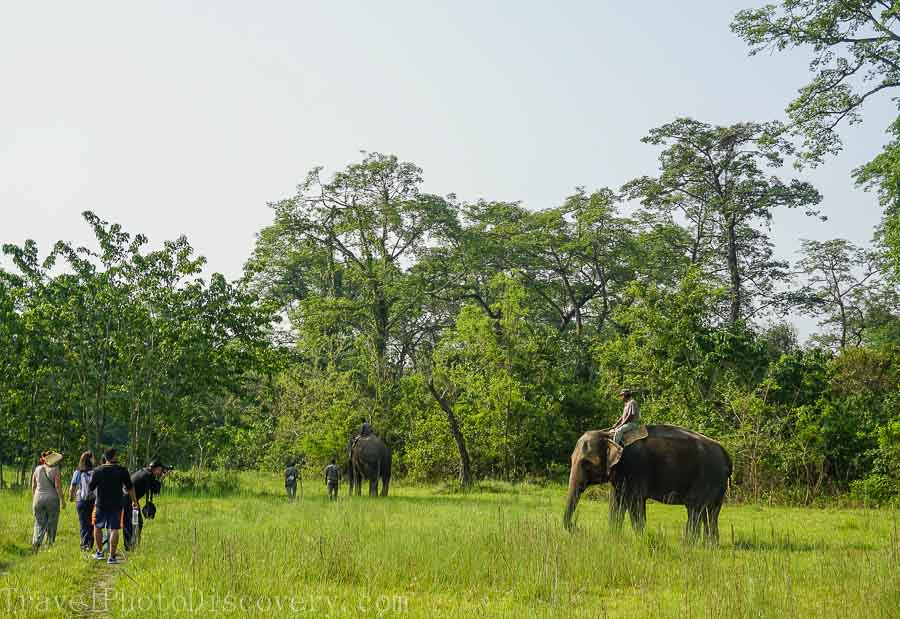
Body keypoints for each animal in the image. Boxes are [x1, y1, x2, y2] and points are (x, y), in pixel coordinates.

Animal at [564, 424, 732, 544]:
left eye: (586, 463)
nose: (579, 529)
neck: (608, 435)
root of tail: (726, 454)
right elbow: (616, 502)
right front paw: (613, 538)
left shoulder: (635, 468)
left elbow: (635, 502)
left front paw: (640, 539)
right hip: (717, 485)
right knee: (711, 512)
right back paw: (710, 545)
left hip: (706, 477)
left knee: (695, 508)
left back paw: (689, 544)